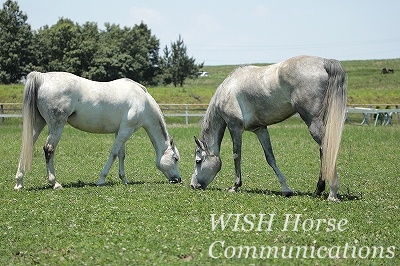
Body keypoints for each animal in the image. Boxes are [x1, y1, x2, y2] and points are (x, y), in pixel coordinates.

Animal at [13, 71, 180, 190]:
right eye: (175, 158)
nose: (178, 179)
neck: (142, 101)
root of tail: (42, 77)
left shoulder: (121, 131)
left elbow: (121, 155)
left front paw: (124, 179)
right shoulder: (126, 131)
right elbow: (113, 154)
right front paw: (101, 179)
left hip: (38, 123)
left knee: (27, 146)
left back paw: (19, 183)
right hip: (56, 126)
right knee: (49, 149)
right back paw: (55, 183)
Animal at [191, 55, 346, 202]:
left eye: (198, 161)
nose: (193, 185)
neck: (227, 89)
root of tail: (324, 62)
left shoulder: (235, 127)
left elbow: (236, 155)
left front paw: (235, 186)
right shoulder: (260, 129)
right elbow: (270, 157)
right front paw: (285, 189)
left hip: (313, 121)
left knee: (327, 149)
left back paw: (332, 193)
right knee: (325, 150)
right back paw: (319, 189)